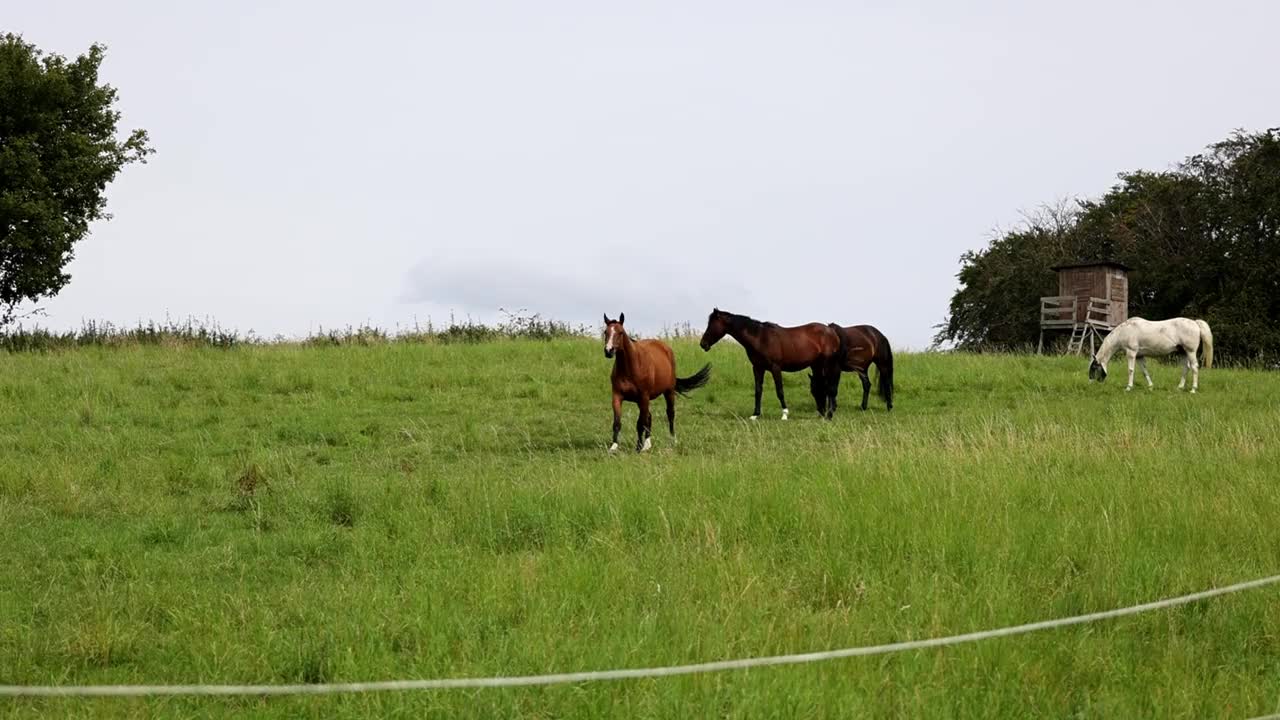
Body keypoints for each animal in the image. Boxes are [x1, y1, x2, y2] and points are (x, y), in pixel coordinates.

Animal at [606, 312, 716, 450]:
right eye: (605, 332)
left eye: (620, 332)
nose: (608, 351)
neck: (630, 368)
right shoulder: (617, 396)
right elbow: (617, 422)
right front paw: (614, 447)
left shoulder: (643, 396)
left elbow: (640, 423)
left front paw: (638, 447)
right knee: (649, 417)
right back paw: (648, 444)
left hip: (668, 392)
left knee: (670, 414)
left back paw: (672, 440)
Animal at [701, 304, 839, 417]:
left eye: (712, 325)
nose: (703, 344)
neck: (760, 338)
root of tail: (831, 331)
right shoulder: (757, 368)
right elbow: (758, 390)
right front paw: (755, 414)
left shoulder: (775, 368)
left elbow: (780, 390)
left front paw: (785, 414)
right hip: (816, 365)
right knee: (821, 386)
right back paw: (822, 413)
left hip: (827, 364)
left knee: (830, 386)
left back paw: (829, 413)